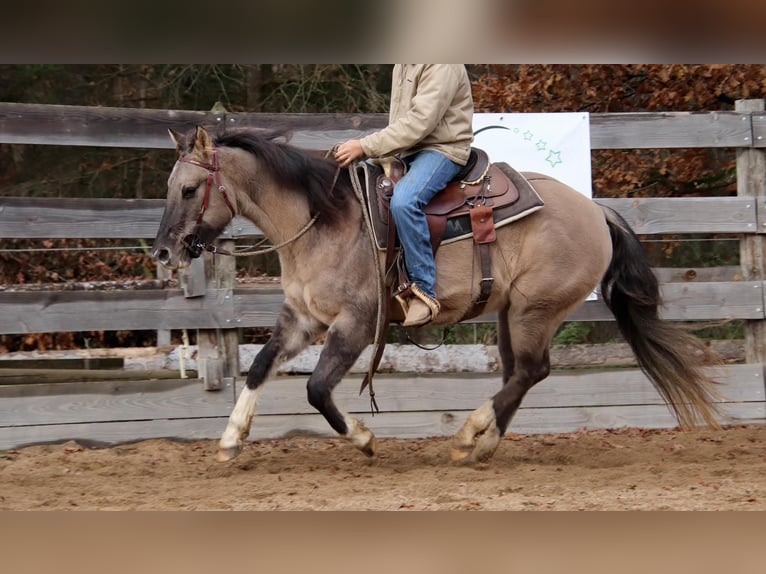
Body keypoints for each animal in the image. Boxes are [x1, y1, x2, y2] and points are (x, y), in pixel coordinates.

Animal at [151, 126, 723, 465]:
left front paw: (363, 438)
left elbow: (316, 389)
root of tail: (594, 209)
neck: (323, 221)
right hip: (513, 314)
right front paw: (231, 438)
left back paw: (470, 433)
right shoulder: (302, 318)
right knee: (520, 373)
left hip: (536, 308)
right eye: (169, 188)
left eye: (188, 190)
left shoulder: (356, 324)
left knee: (531, 371)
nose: (161, 251)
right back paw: (483, 443)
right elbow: (259, 367)